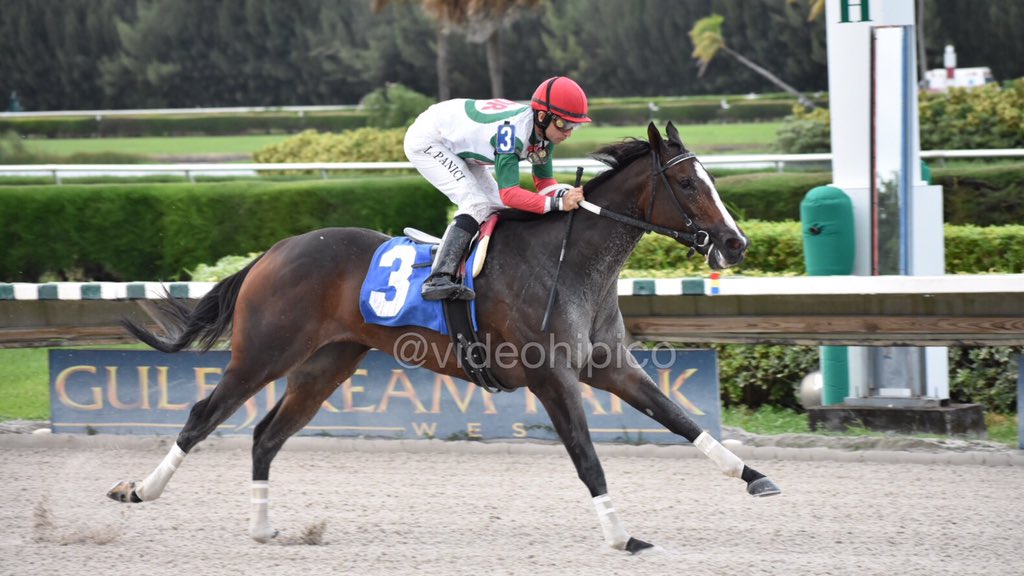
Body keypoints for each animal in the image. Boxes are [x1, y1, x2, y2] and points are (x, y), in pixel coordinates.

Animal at [110, 121, 774, 553]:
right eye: (688, 186)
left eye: (709, 180)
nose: (737, 242)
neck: (570, 262)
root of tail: (272, 252)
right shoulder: (550, 377)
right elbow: (587, 457)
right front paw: (619, 535)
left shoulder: (609, 365)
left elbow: (681, 418)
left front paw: (753, 477)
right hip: (263, 354)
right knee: (202, 415)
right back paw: (138, 490)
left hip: (326, 365)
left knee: (266, 435)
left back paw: (262, 527)